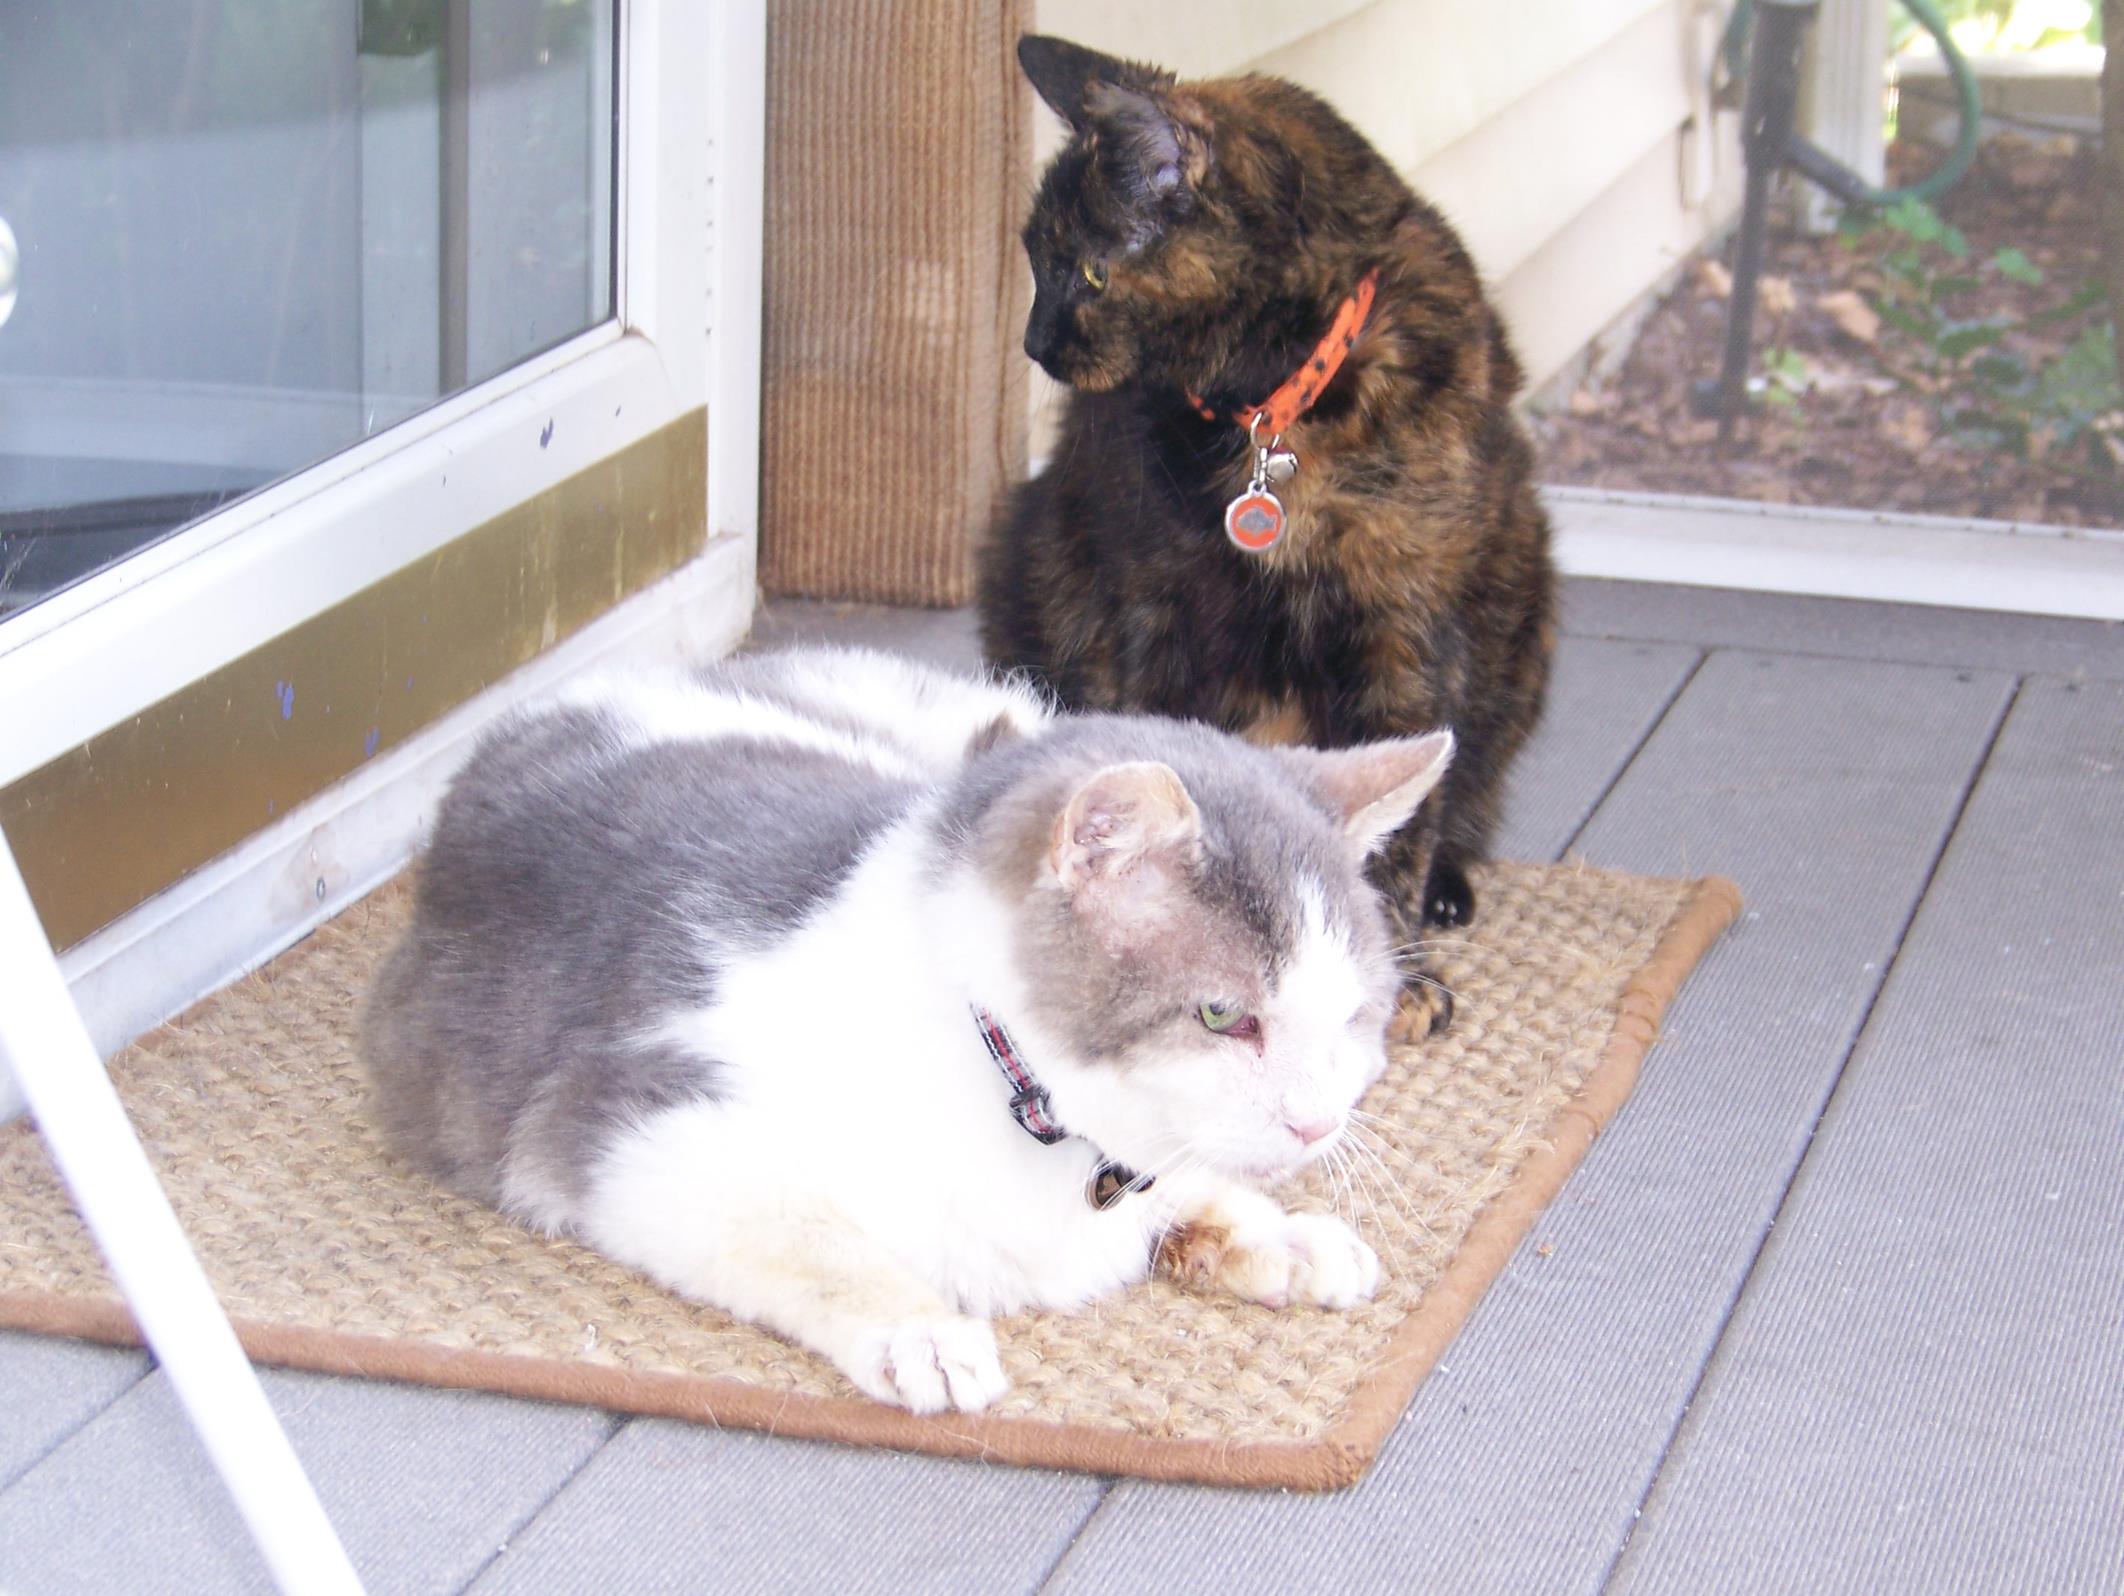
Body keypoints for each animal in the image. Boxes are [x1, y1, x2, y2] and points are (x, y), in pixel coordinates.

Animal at [365, 641, 1452, 1419]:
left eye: (1351, 1015)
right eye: (1224, 1014)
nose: (1318, 1125)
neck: (999, 1075)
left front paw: (1281, 1233)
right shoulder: (637, 1126)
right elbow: (808, 1239)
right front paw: (921, 1333)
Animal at [977, 37, 1563, 1041]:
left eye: (1086, 272)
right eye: (1034, 263)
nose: (1034, 345)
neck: (1273, 413)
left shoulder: (1403, 627)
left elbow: (1400, 816)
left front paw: (1398, 970)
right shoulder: (1146, 608)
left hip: (1521, 588)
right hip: (1033, 555)